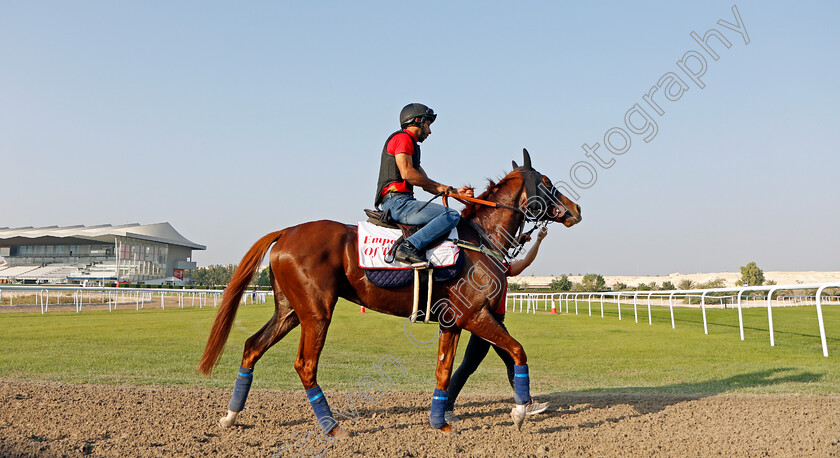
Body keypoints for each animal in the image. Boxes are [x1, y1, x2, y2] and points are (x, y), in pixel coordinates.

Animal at [198, 149, 580, 436]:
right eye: (547, 183)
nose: (576, 209)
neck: (477, 239)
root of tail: (286, 232)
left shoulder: (454, 322)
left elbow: (447, 369)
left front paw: (441, 421)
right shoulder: (474, 315)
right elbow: (517, 351)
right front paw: (520, 413)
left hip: (290, 311)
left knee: (252, 347)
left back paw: (230, 416)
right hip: (317, 313)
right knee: (305, 365)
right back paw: (332, 426)